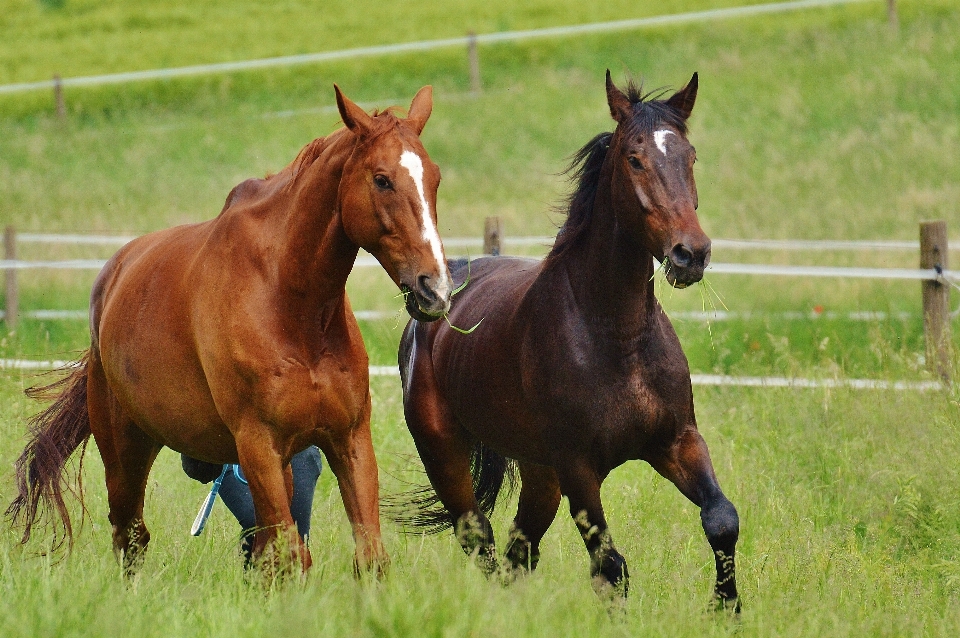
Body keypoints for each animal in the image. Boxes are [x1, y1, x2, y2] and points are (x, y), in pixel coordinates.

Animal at [7, 84, 452, 576]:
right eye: (381, 179)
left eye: (434, 179)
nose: (435, 288)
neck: (292, 307)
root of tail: (110, 281)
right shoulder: (258, 444)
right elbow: (288, 557)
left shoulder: (348, 440)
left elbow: (367, 557)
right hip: (127, 453)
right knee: (131, 536)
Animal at [394, 72, 740, 612]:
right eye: (634, 158)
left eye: (690, 156)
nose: (691, 254)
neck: (616, 335)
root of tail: (431, 301)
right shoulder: (580, 468)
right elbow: (611, 567)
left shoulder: (677, 442)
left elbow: (722, 520)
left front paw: (727, 610)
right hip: (445, 454)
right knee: (480, 539)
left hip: (541, 473)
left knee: (518, 550)